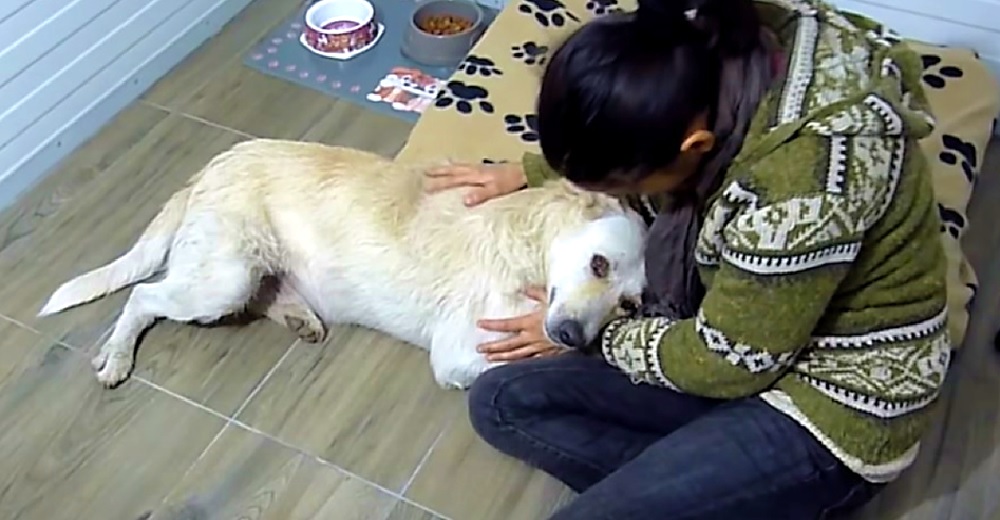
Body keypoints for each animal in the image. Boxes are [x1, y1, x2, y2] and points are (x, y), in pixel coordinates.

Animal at [37, 139, 648, 390]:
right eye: (598, 264)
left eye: (630, 304)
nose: (569, 334)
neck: (532, 240)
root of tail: (212, 165)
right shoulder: (459, 352)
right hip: (223, 278)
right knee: (143, 296)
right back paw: (116, 356)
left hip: (243, 276)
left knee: (258, 297)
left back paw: (299, 317)